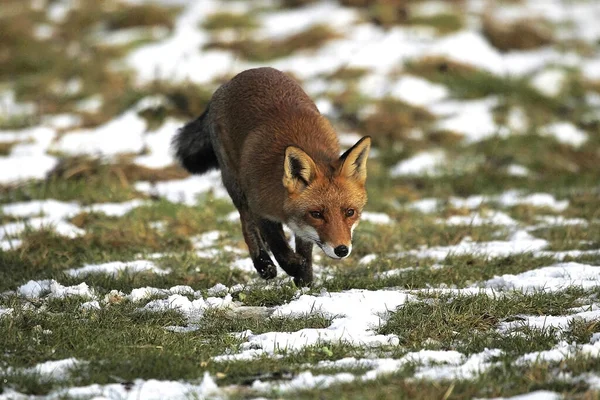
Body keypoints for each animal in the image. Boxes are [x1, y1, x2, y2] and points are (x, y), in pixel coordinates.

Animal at [172, 68, 370, 288]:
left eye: (350, 212)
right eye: (316, 214)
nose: (342, 249)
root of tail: (246, 73)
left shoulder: (301, 227)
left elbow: (304, 248)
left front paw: (305, 279)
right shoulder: (260, 208)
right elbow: (279, 246)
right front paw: (294, 267)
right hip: (235, 183)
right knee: (247, 224)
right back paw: (263, 263)